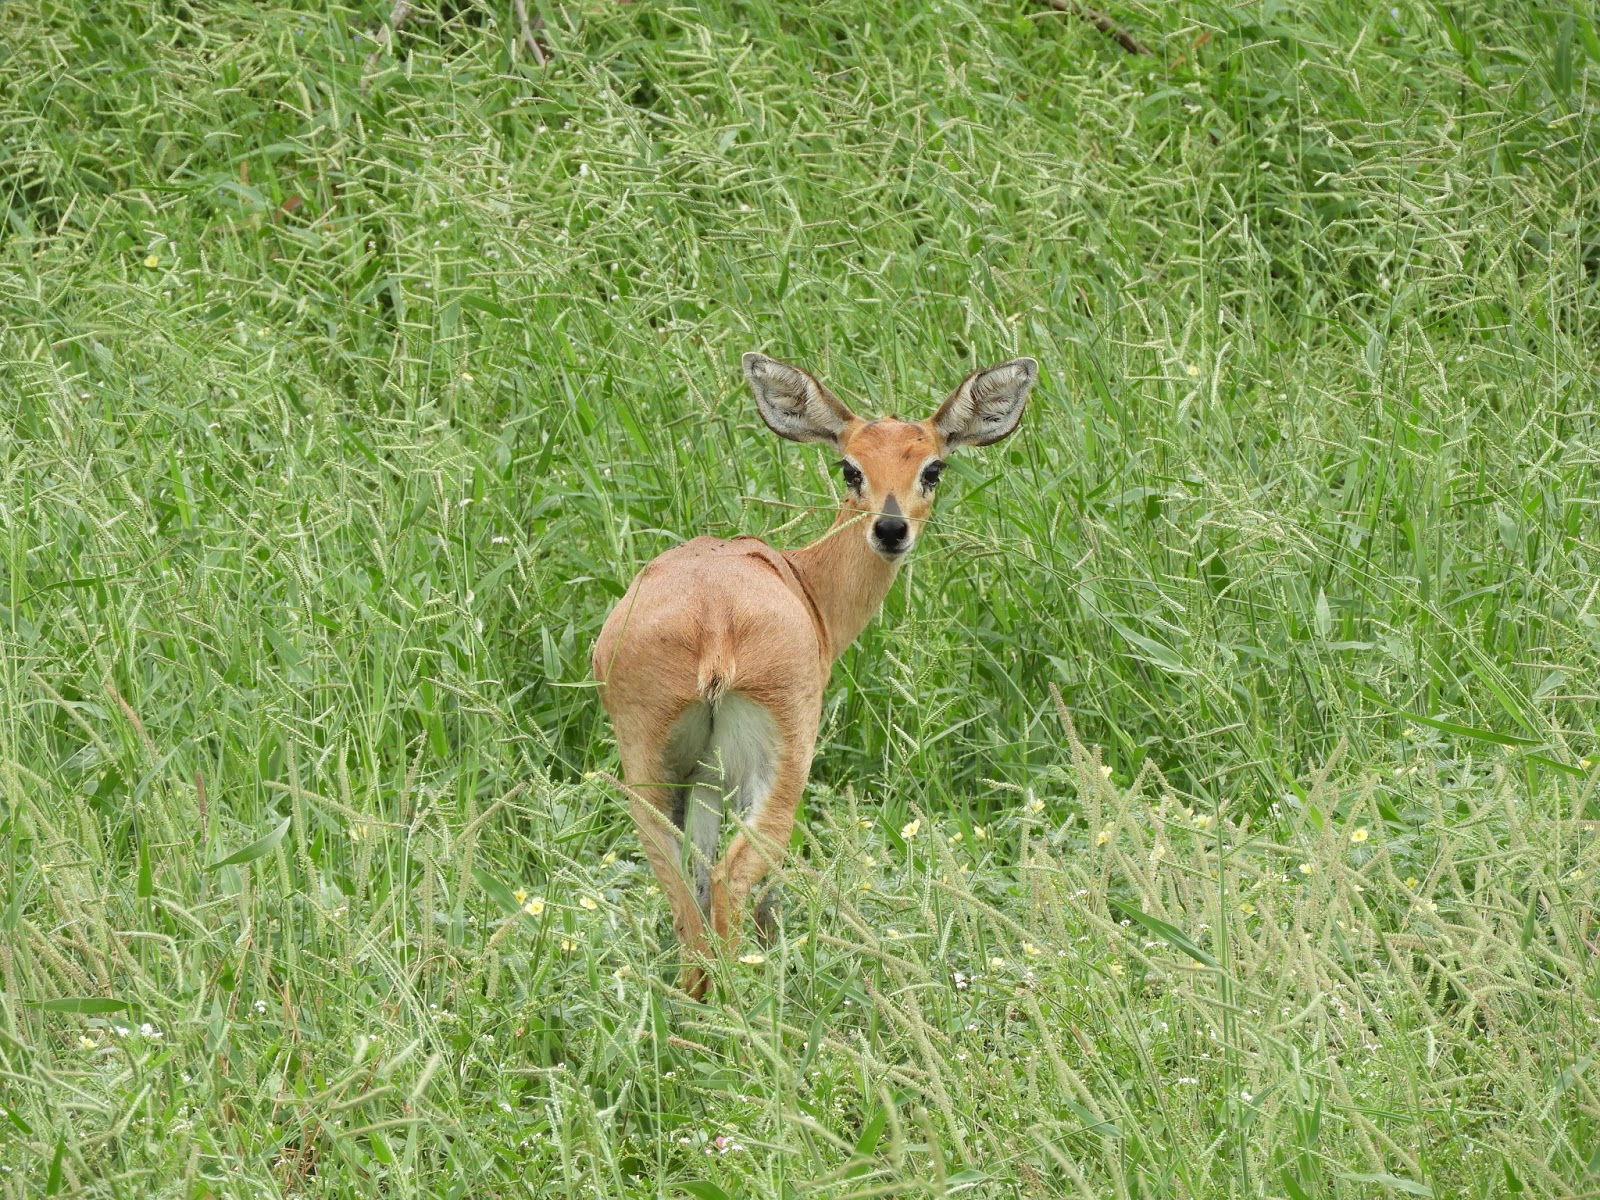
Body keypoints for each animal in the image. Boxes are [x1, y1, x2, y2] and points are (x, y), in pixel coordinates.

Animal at [592, 352, 1037, 998]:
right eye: (850, 467)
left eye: (932, 467)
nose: (891, 529)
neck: (805, 583)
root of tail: (714, 622)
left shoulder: (703, 778)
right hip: (779, 762)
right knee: (735, 879)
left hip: (650, 768)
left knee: (686, 893)